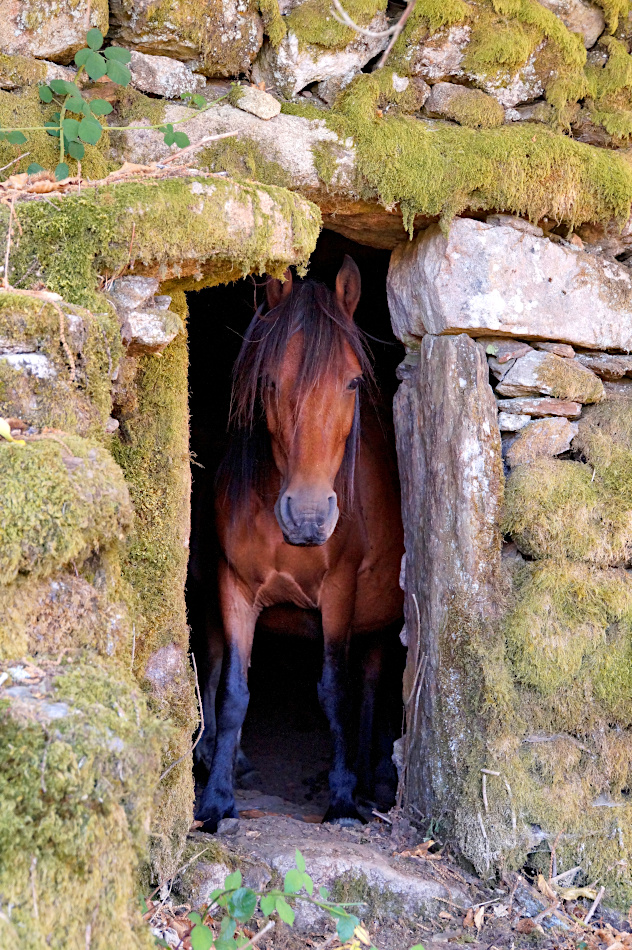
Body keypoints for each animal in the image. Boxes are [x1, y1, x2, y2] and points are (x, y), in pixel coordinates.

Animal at [196, 256, 404, 828]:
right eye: (270, 381)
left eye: (353, 382)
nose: (308, 518)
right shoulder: (233, 589)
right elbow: (233, 691)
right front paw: (217, 799)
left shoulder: (338, 595)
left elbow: (334, 692)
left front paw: (343, 799)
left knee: (373, 688)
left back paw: (369, 777)